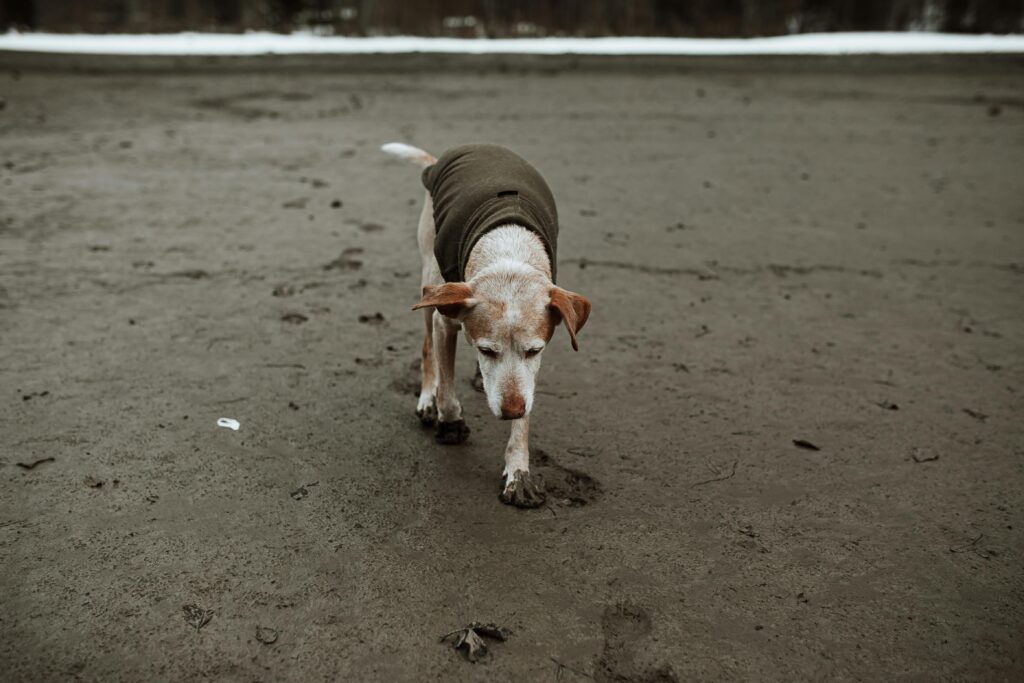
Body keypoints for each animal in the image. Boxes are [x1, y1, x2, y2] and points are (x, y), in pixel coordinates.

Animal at [382, 143, 593, 507]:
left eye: (534, 350)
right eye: (486, 349)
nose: (511, 411)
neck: (507, 254)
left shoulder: (532, 366)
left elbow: (525, 410)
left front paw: (518, 471)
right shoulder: (444, 319)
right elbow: (447, 390)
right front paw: (451, 423)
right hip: (428, 278)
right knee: (427, 350)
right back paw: (427, 397)